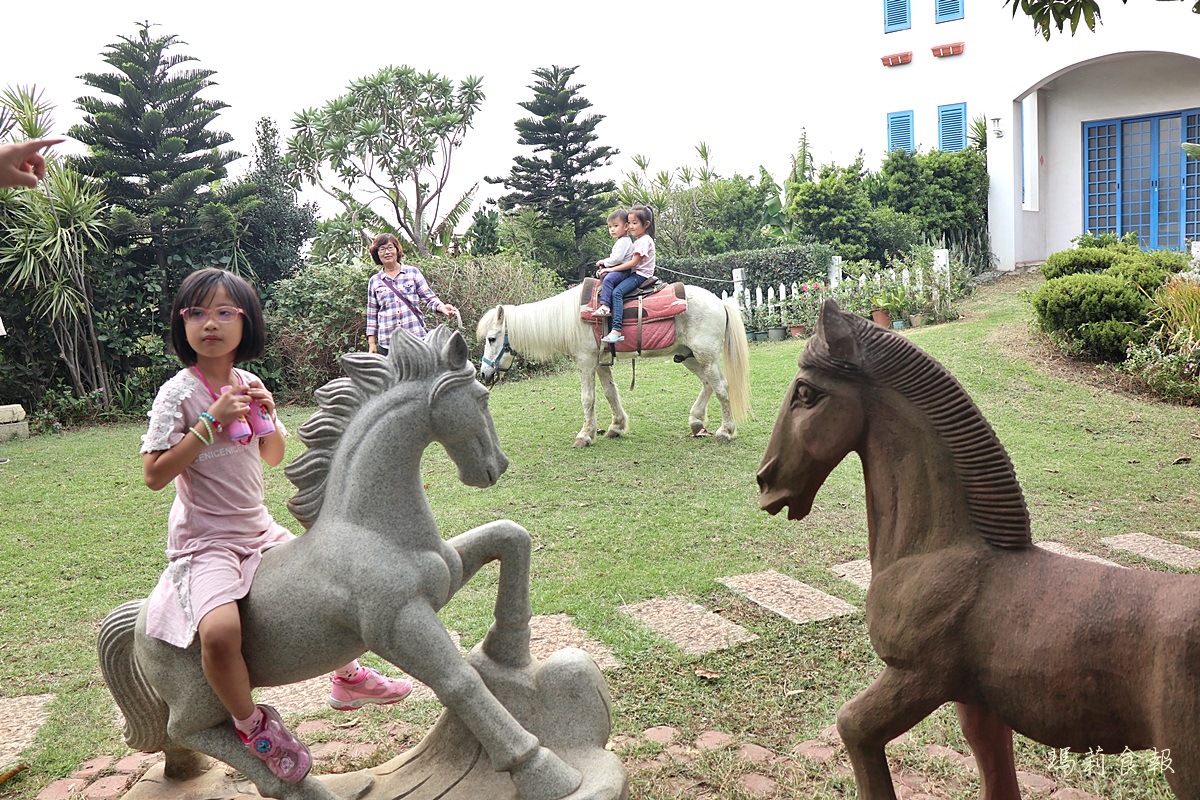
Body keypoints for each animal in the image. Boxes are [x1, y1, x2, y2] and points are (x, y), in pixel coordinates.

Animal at [477, 284, 748, 448]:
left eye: (491, 339)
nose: (485, 373)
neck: (572, 318)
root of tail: (720, 302)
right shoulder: (600, 363)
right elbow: (610, 393)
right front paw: (616, 427)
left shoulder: (586, 362)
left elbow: (588, 398)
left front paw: (585, 435)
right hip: (691, 356)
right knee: (708, 384)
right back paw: (696, 421)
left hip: (705, 356)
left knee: (721, 387)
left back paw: (725, 430)